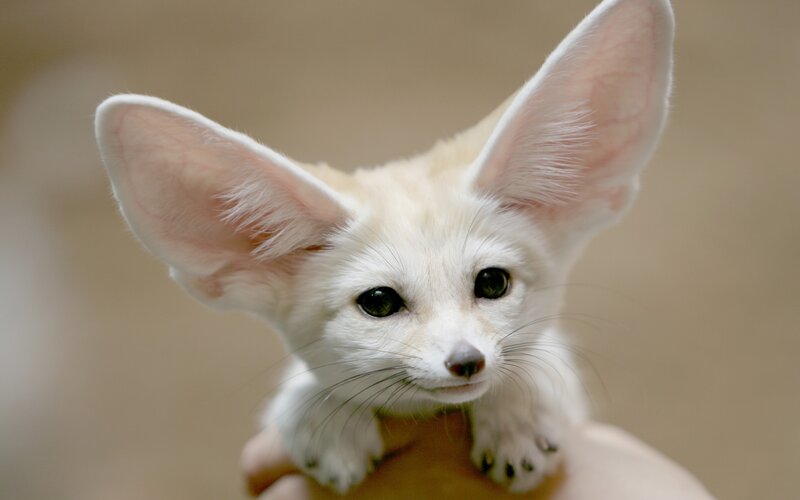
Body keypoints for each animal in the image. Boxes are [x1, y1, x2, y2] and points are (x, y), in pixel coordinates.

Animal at [95, 0, 673, 493]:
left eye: (492, 282)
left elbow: (539, 357)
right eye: (378, 302)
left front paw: (517, 411)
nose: (467, 362)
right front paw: (321, 415)